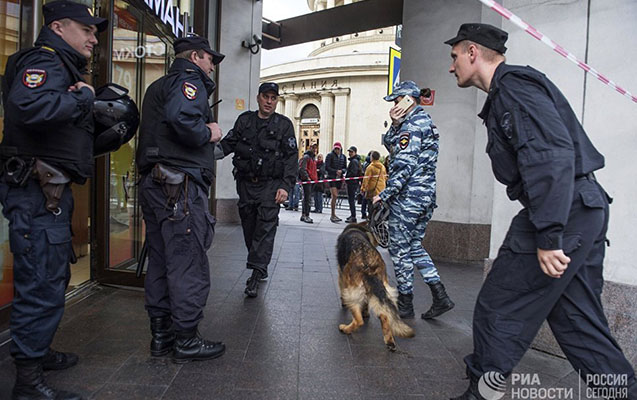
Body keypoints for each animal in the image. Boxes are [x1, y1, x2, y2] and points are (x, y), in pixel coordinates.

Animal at [336, 222, 414, 350]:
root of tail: (369, 267)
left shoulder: (341, 275)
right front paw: (366, 312)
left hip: (352, 292)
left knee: (359, 321)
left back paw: (346, 329)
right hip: (384, 291)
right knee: (385, 315)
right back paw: (389, 341)